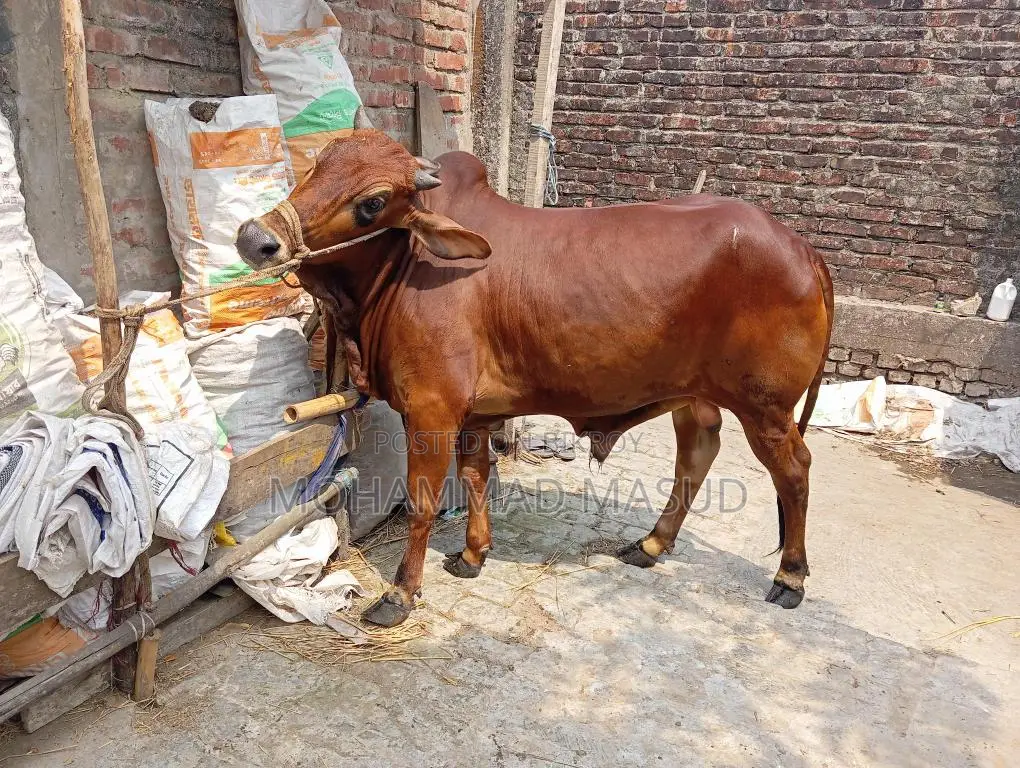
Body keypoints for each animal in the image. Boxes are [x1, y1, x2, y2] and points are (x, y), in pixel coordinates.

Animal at [235, 108, 834, 628]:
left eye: (373, 201)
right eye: (319, 162)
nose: (255, 239)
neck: (403, 268)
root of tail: (803, 247)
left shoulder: (431, 410)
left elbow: (423, 504)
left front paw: (400, 594)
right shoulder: (473, 417)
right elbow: (475, 478)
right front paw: (472, 555)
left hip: (765, 408)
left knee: (795, 470)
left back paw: (790, 576)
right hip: (695, 396)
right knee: (698, 453)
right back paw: (650, 545)